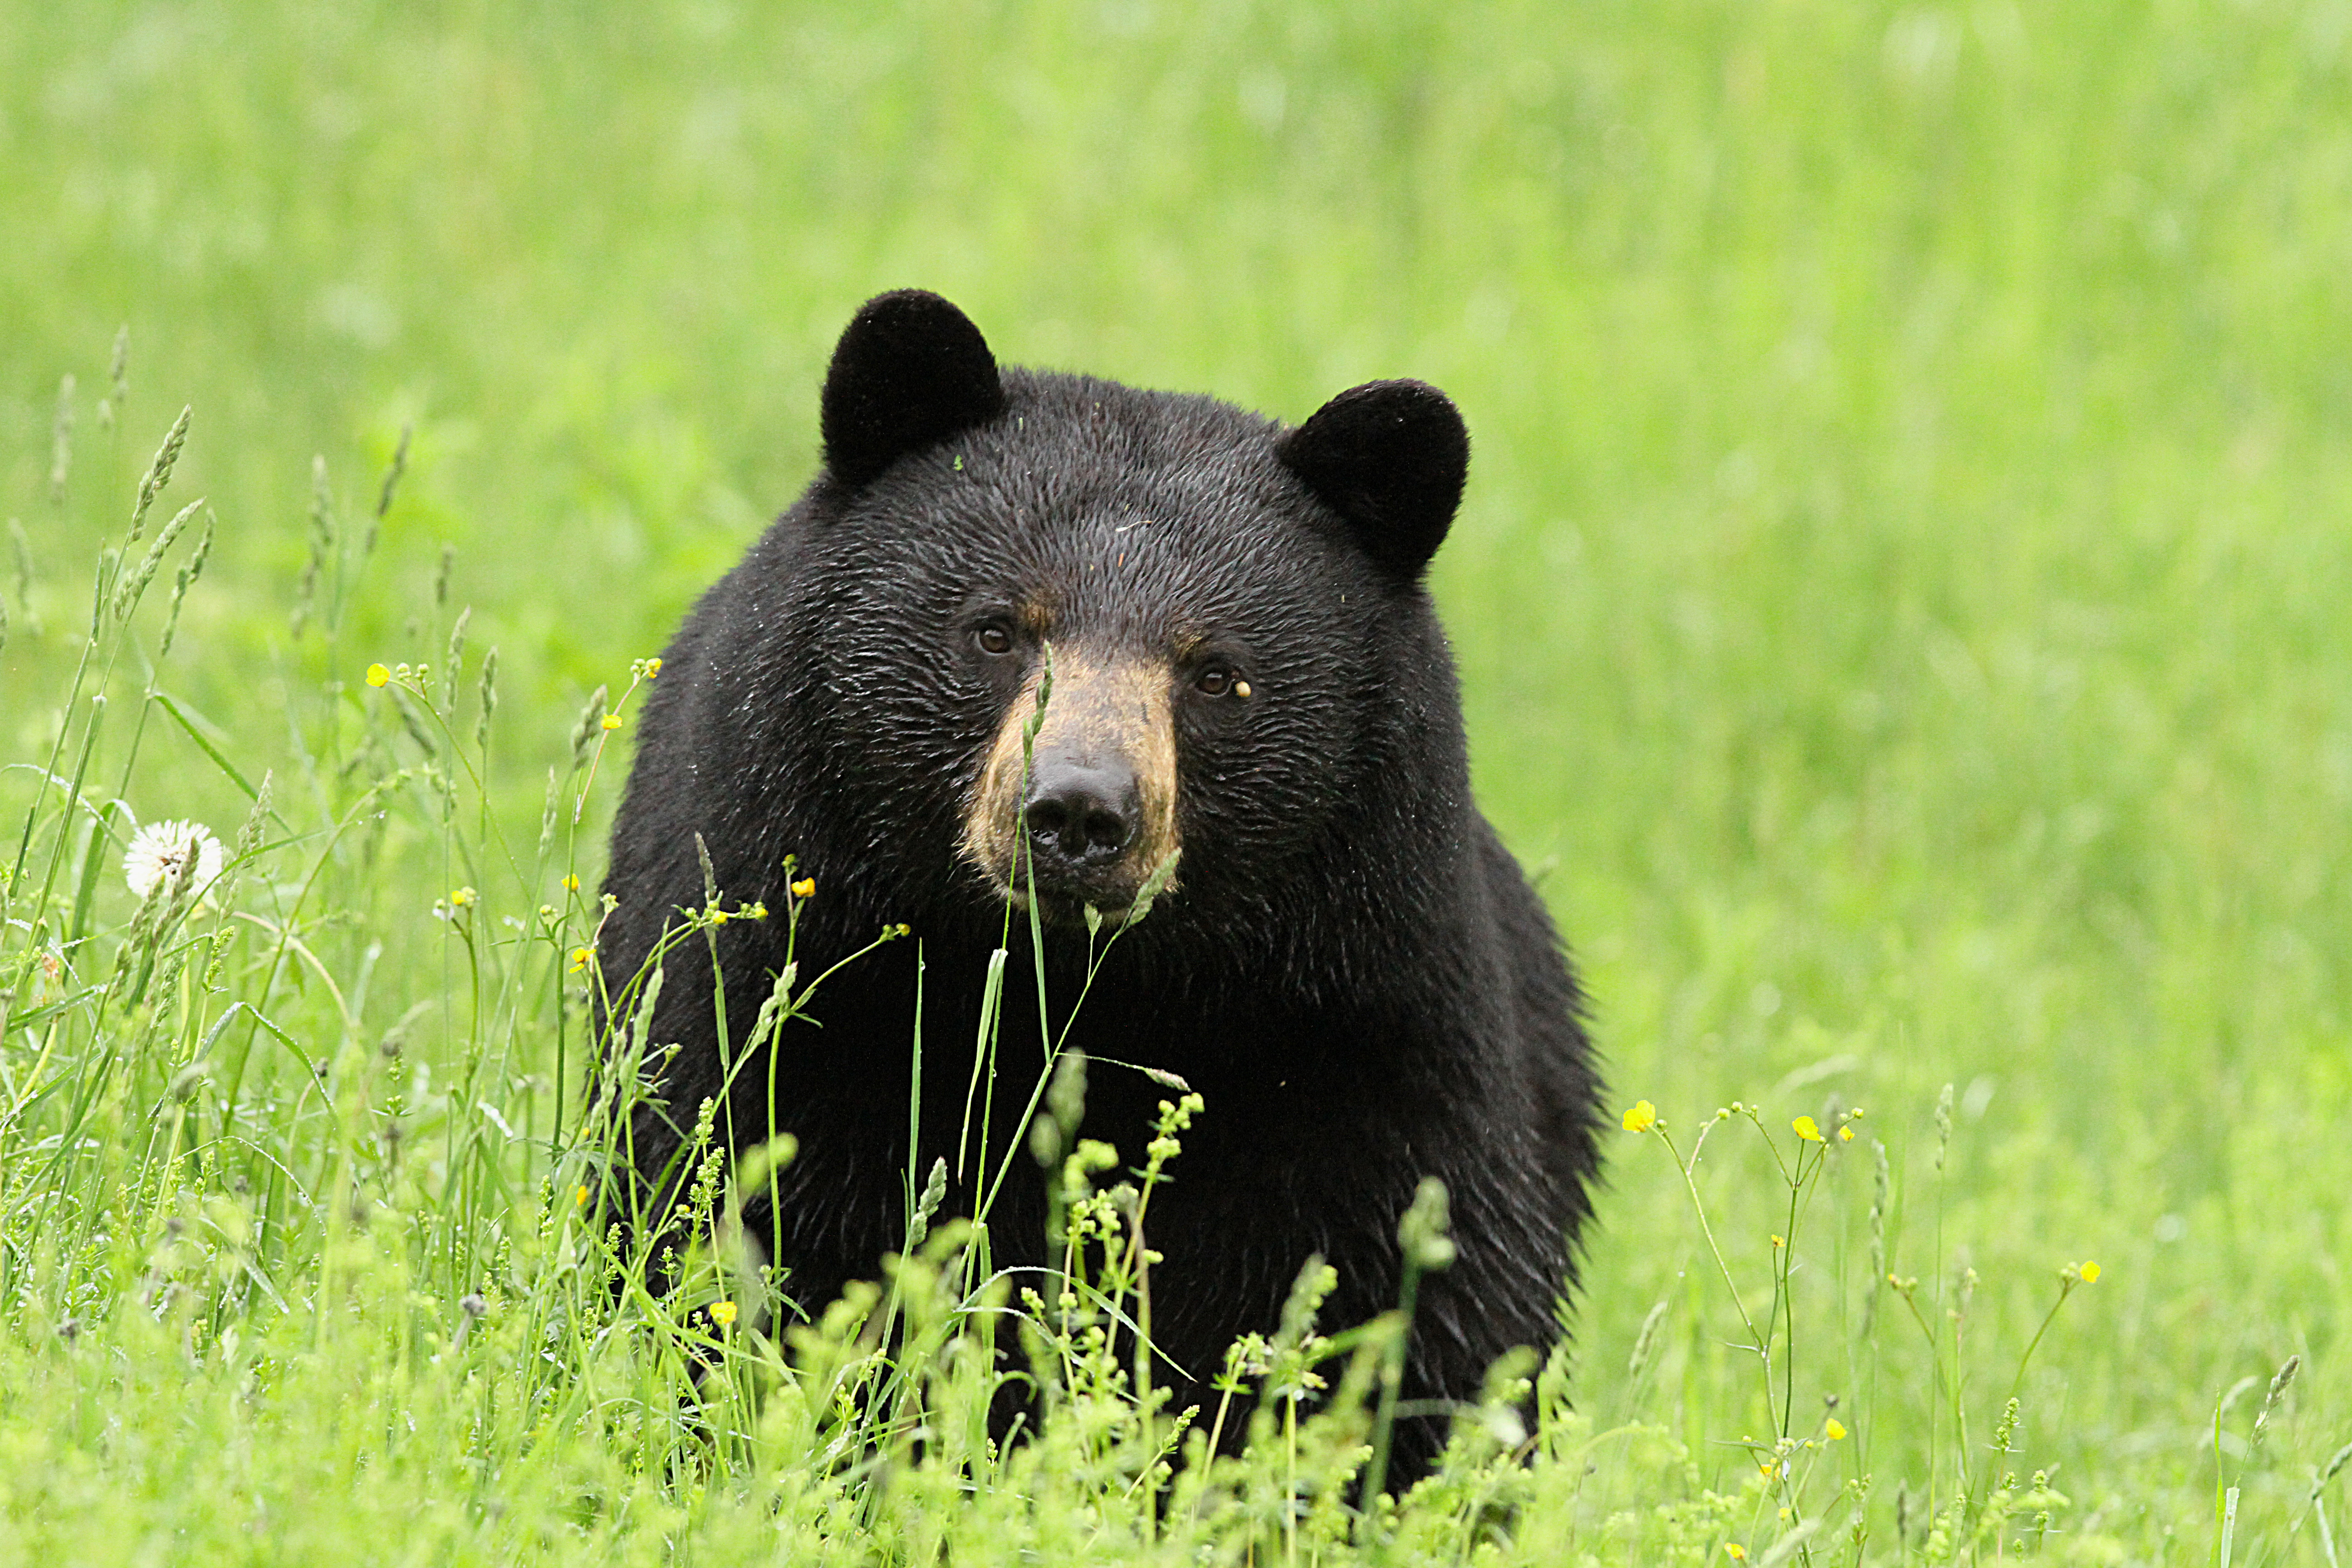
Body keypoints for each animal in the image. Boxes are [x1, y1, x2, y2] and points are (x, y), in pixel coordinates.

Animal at [597, 288, 1608, 1476]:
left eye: (1218, 673)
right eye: (995, 627)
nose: (1078, 811)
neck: (1091, 996)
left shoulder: (1365, 1024)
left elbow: (1421, 1301)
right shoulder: (784, 970)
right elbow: (738, 1215)